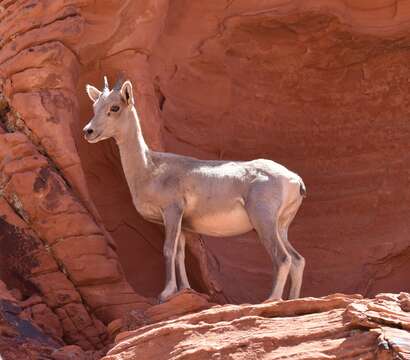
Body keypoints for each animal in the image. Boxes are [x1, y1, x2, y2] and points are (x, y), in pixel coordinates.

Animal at [83, 77, 306, 302]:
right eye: (95, 106)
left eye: (115, 107)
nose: (88, 131)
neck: (150, 168)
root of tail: (295, 180)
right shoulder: (184, 225)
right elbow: (181, 254)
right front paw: (184, 289)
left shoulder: (172, 212)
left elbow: (168, 249)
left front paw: (166, 293)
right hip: (280, 227)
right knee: (297, 260)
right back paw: (293, 299)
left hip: (264, 222)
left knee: (283, 258)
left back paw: (272, 299)